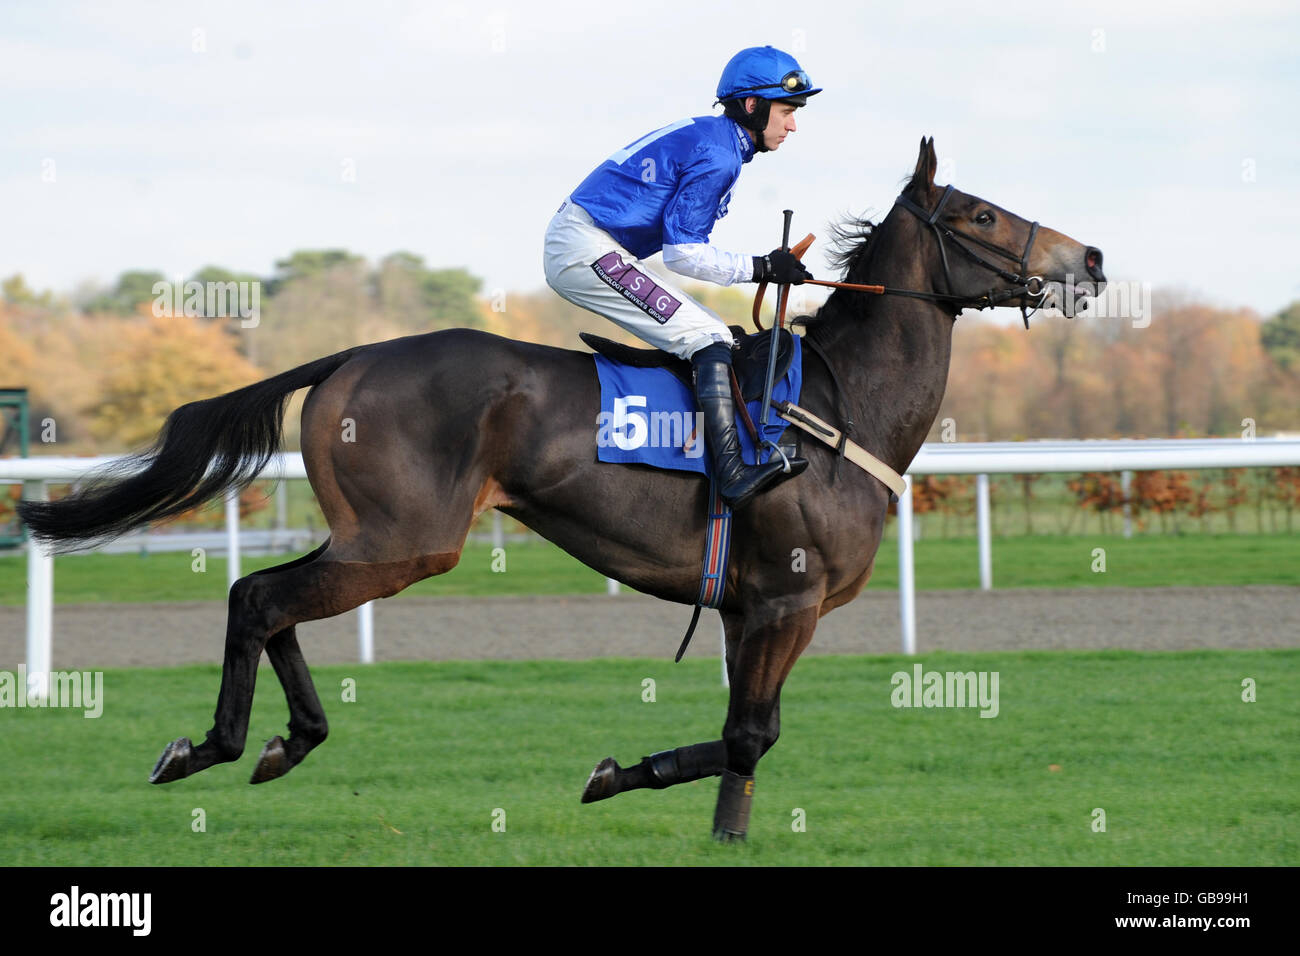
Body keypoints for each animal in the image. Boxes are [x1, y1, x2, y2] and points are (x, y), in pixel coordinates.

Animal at [15, 138, 1102, 842]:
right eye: (978, 213)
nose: (1086, 256)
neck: (839, 408)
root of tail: (352, 354)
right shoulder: (787, 599)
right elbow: (748, 735)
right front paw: (621, 775)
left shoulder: (748, 607)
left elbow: (743, 744)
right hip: (406, 541)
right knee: (258, 595)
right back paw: (216, 744)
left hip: (375, 536)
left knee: (272, 601)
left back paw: (290, 740)